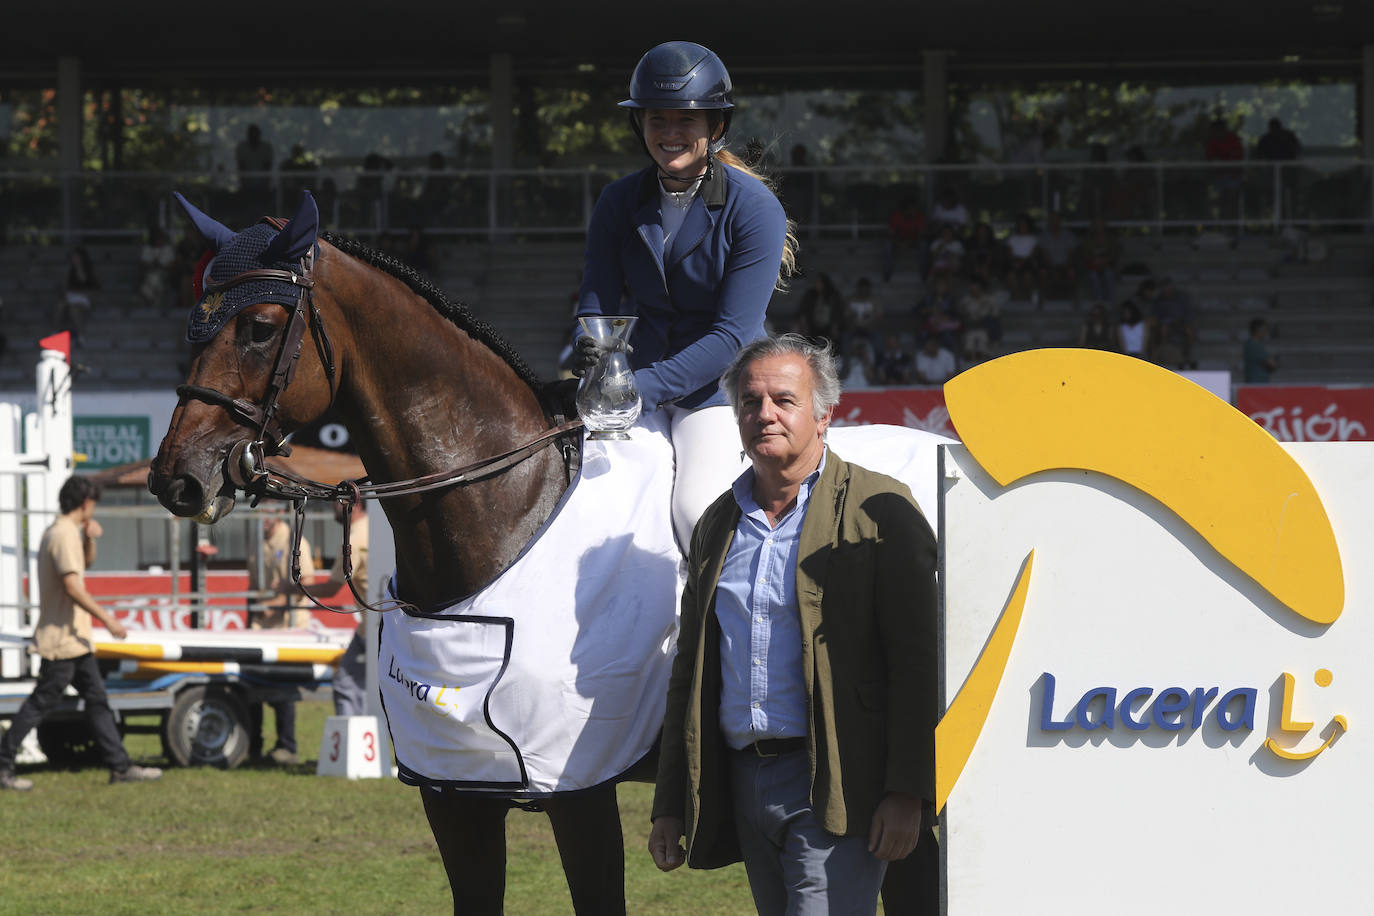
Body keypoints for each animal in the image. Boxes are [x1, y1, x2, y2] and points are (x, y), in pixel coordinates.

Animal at [150, 189, 637, 911]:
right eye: (194, 326)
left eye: (260, 328)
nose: (175, 479)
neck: (507, 509)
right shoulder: (455, 791)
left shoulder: (582, 791)